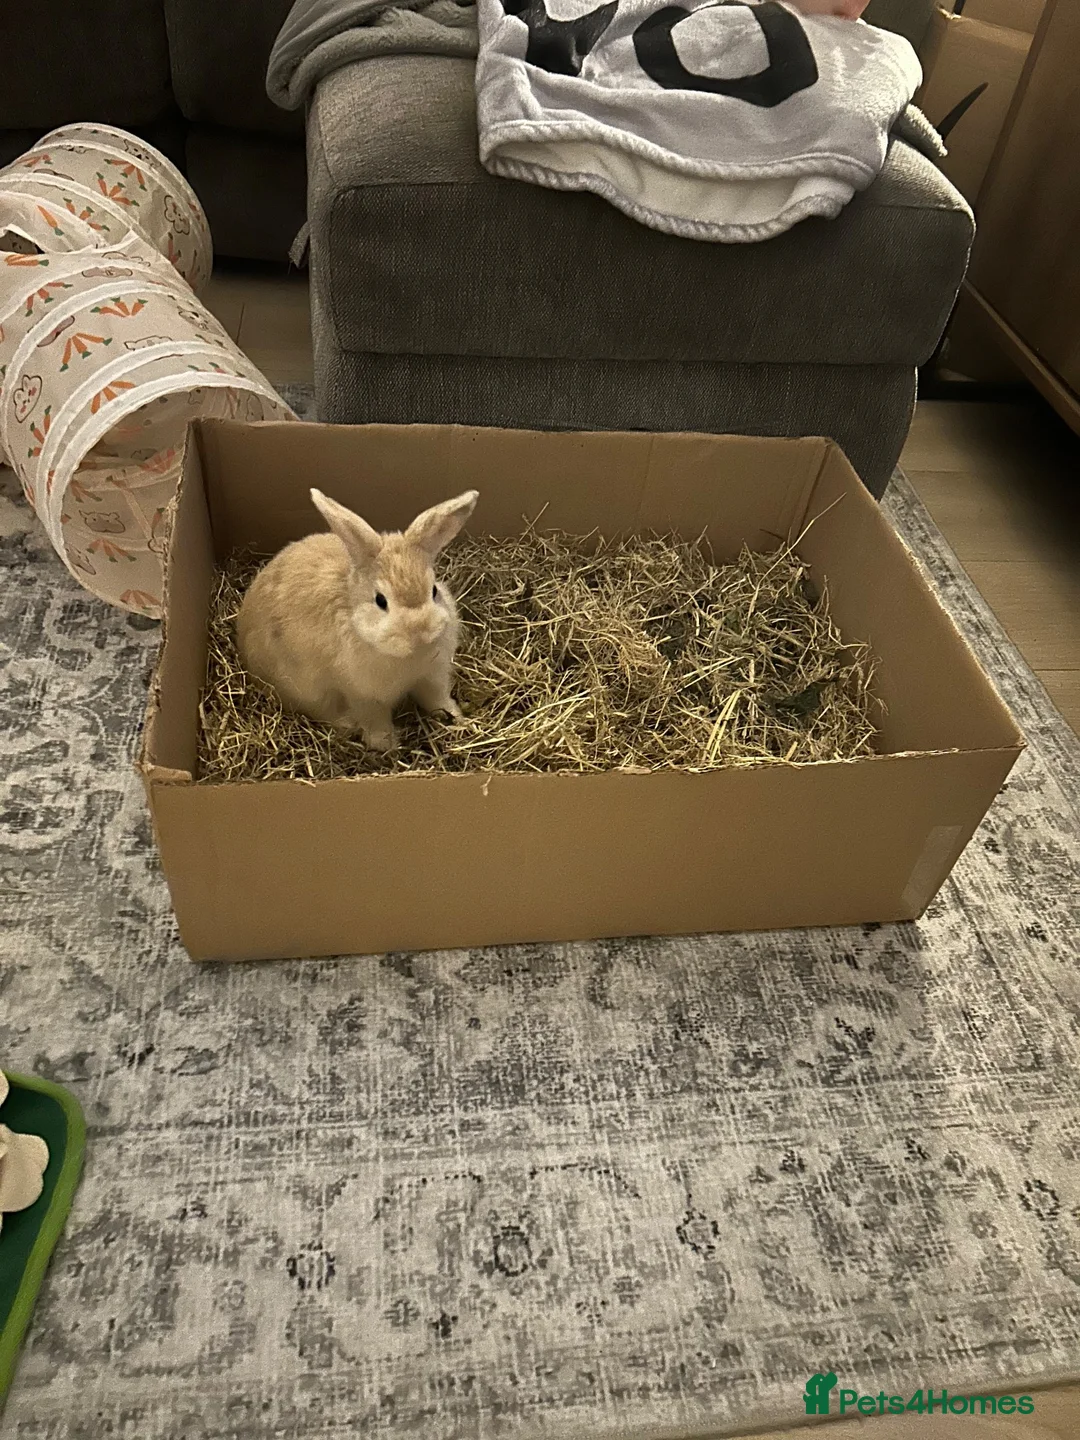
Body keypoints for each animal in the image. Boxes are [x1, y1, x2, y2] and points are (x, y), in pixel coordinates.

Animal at [236, 487, 478, 753]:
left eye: (434, 591)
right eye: (381, 600)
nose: (421, 633)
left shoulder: (432, 677)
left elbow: (437, 699)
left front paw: (458, 719)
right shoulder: (363, 696)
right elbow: (375, 719)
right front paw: (387, 744)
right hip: (302, 690)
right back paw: (347, 724)